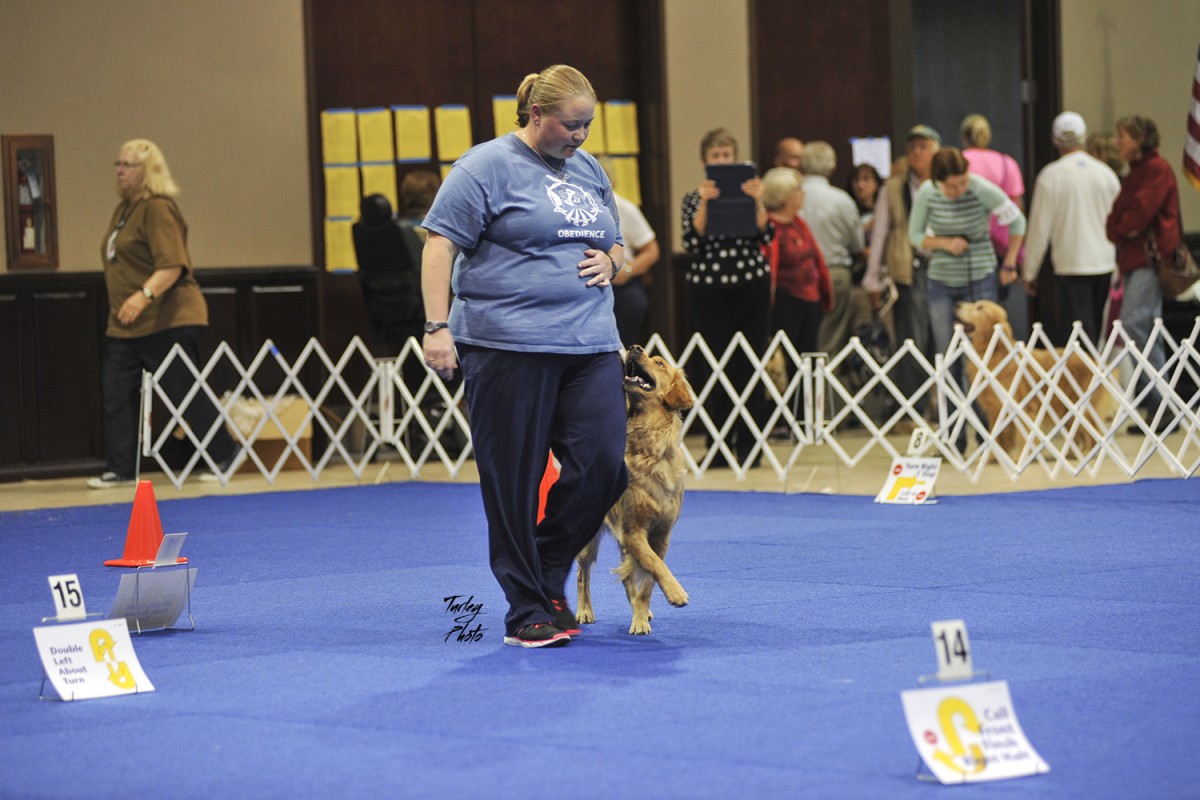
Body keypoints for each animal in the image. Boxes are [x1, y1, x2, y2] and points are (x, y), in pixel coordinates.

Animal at [573, 347, 691, 633]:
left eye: (659, 362)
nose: (634, 348)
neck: (649, 446)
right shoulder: (633, 531)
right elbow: (653, 565)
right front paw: (676, 592)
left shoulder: (660, 534)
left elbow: (648, 578)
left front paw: (640, 615)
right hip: (589, 538)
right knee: (583, 574)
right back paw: (584, 610)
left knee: (628, 576)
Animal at [955, 299, 1113, 455]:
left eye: (980, 308)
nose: (958, 304)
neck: (996, 353)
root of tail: (1094, 360)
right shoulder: (995, 410)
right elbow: (998, 440)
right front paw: (993, 458)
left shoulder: (1021, 409)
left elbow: (1021, 439)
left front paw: (1020, 457)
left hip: (1082, 408)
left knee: (1094, 434)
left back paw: (1088, 453)